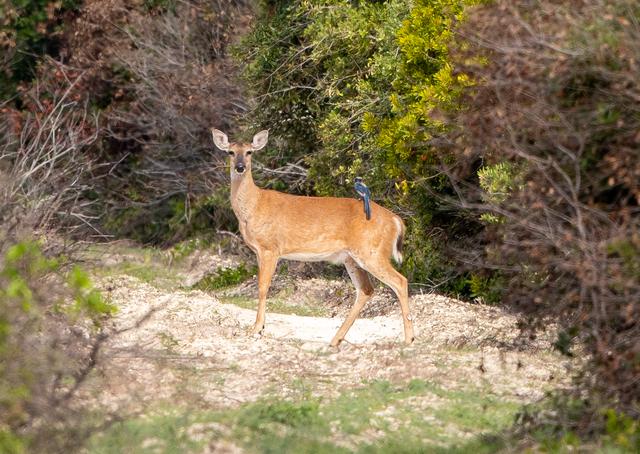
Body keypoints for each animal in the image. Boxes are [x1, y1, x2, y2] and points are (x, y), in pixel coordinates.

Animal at [211, 129, 414, 347]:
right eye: (231, 152)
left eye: (249, 152)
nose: (240, 167)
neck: (254, 206)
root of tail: (396, 220)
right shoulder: (259, 251)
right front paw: (259, 327)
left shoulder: (270, 248)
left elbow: (263, 287)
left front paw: (257, 329)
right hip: (352, 257)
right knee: (366, 290)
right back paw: (335, 339)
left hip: (371, 251)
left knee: (400, 281)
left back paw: (409, 338)